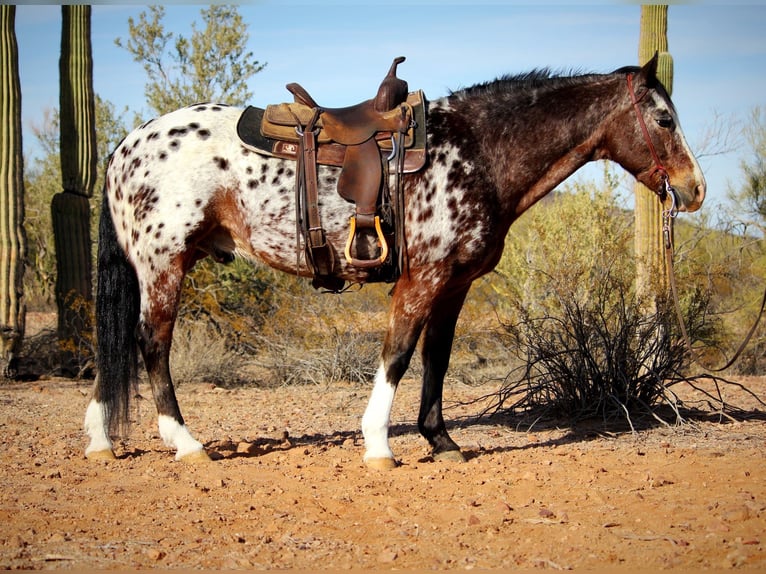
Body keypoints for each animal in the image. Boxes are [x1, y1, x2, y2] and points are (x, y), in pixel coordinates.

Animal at [85, 54, 708, 470]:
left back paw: (100, 440)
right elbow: (399, 354)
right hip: (165, 266)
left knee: (116, 346)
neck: (477, 152)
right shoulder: (421, 279)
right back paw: (185, 444)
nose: (695, 189)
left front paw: (441, 440)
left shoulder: (454, 285)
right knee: (152, 344)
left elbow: (437, 359)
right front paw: (379, 445)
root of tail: (125, 146)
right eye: (664, 119)